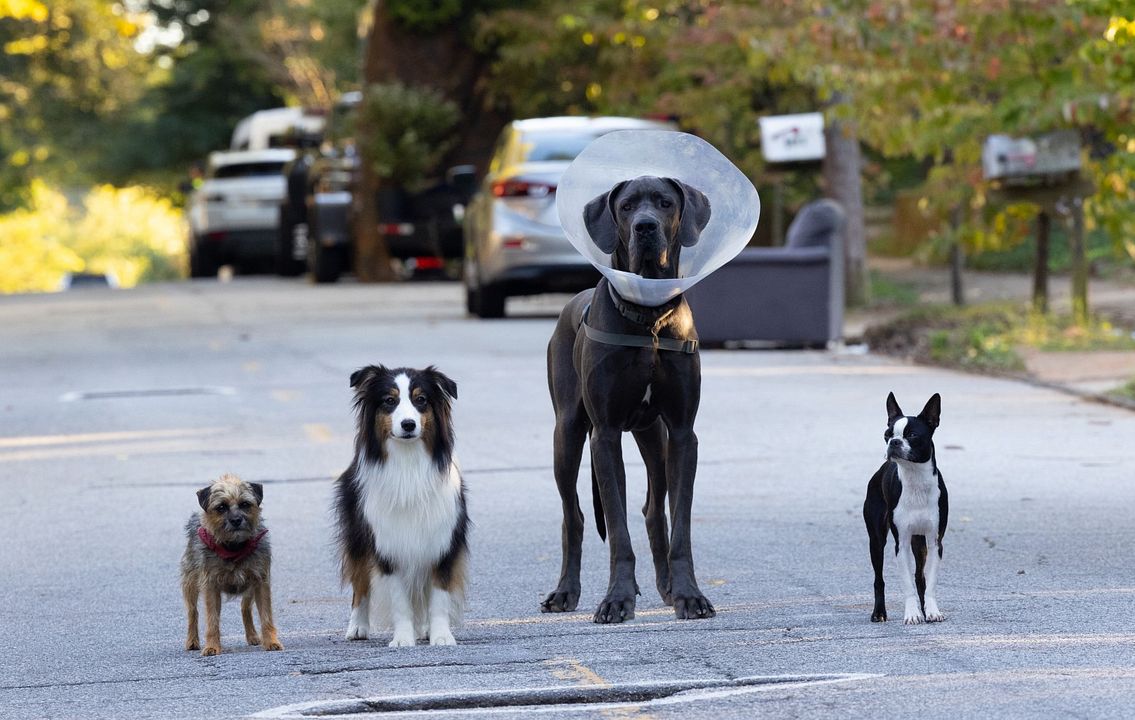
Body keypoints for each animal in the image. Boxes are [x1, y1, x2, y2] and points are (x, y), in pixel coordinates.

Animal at [180, 470, 282, 654]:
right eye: (221, 507)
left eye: (245, 504)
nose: (236, 520)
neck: (234, 547)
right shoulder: (211, 587)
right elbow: (212, 620)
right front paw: (212, 646)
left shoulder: (261, 582)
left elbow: (266, 616)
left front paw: (271, 641)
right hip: (190, 584)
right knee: (193, 612)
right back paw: (192, 641)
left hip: (250, 588)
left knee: (245, 607)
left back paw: (253, 636)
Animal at [331, 363, 469, 645]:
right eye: (389, 401)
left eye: (421, 400)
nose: (408, 424)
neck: (409, 462)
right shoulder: (388, 545)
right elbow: (399, 600)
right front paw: (403, 638)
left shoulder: (442, 541)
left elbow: (438, 596)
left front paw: (441, 636)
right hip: (358, 538)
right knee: (360, 584)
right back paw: (357, 627)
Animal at [542, 174, 717, 622]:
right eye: (626, 206)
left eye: (665, 203)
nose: (645, 226)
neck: (650, 316)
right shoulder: (604, 434)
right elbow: (617, 529)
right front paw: (617, 598)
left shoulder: (683, 433)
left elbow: (680, 522)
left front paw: (690, 595)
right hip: (568, 434)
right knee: (573, 516)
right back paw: (564, 592)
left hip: (653, 436)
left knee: (654, 512)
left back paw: (667, 588)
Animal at [858, 390, 948, 617]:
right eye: (887, 434)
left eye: (913, 435)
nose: (894, 442)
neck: (915, 479)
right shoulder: (902, 543)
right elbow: (906, 583)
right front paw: (913, 614)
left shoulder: (935, 542)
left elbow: (930, 581)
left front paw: (931, 611)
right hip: (876, 540)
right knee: (879, 578)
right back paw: (879, 613)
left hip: (920, 542)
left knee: (920, 577)